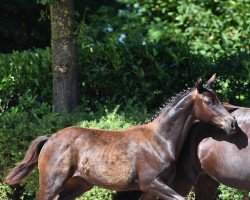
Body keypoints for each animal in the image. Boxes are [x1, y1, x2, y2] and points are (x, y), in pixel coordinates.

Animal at [5, 75, 236, 200]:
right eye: (209, 101)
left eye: (218, 98)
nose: (232, 123)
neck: (160, 140)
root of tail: (51, 137)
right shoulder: (151, 183)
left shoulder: (152, 188)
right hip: (51, 182)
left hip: (79, 184)